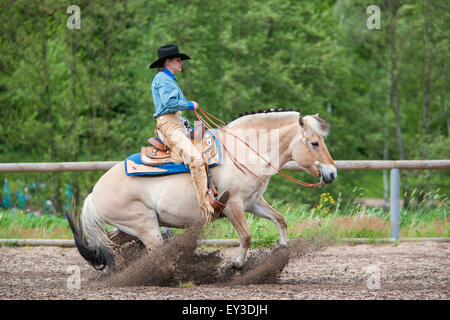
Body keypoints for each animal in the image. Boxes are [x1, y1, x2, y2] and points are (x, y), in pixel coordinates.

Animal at [66, 109, 334, 270]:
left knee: (109, 245)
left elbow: (280, 220)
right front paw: (235, 265)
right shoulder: (233, 205)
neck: (243, 151)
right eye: (314, 143)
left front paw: (281, 249)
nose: (332, 174)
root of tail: (93, 194)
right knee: (156, 255)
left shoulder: (253, 202)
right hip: (145, 227)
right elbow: (246, 236)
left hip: (128, 228)